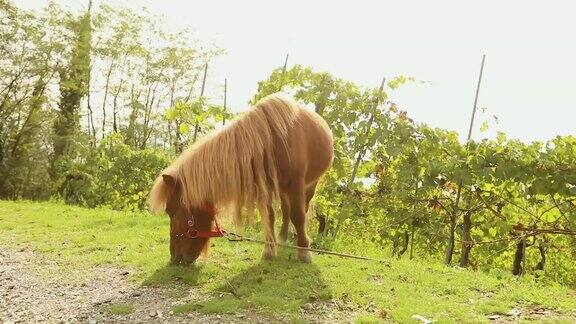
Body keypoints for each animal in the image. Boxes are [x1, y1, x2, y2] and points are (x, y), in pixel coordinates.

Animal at [148, 93, 332, 264]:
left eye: (172, 212)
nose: (175, 257)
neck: (272, 141)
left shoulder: (297, 183)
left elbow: (299, 216)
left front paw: (304, 252)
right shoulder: (266, 186)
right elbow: (270, 216)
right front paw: (269, 249)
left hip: (309, 185)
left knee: (301, 209)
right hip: (283, 189)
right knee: (286, 210)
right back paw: (283, 238)